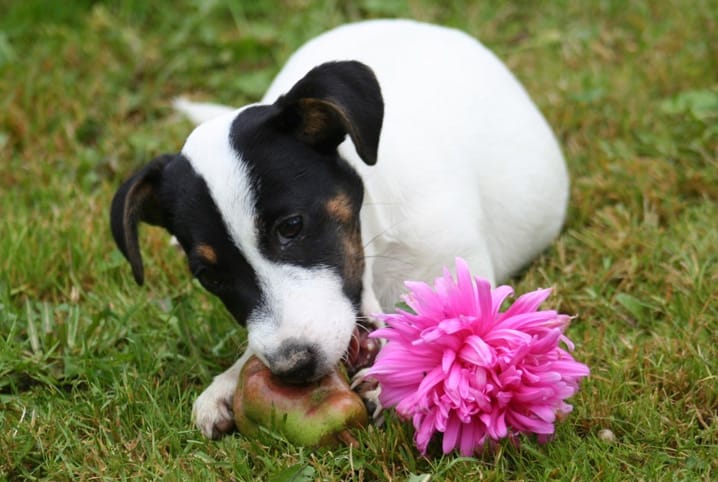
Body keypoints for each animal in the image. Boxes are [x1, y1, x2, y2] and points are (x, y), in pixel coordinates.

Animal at [109, 19, 572, 440]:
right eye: (209, 276)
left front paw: (394, 380)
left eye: (291, 227)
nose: (293, 367)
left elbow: (445, 337)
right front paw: (229, 380)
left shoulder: (460, 275)